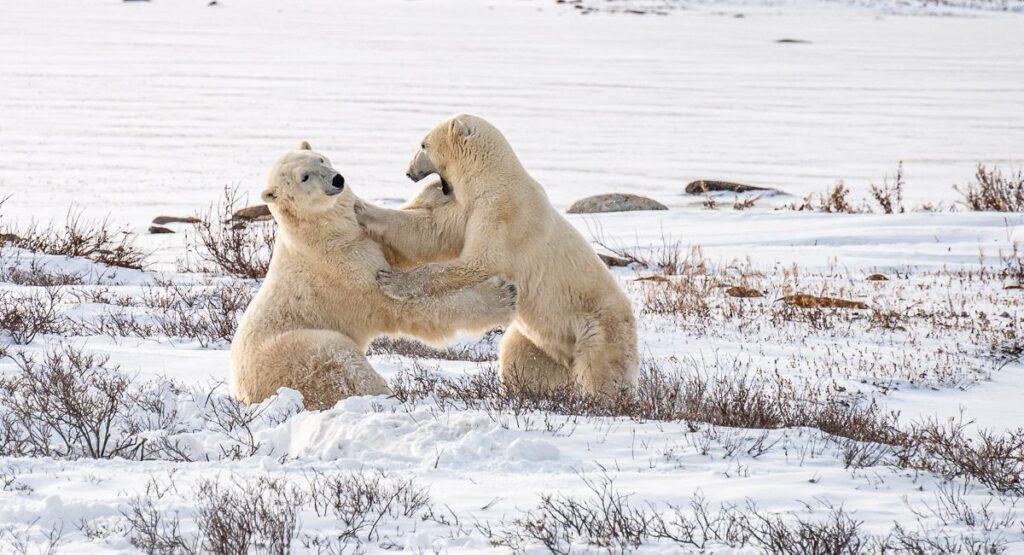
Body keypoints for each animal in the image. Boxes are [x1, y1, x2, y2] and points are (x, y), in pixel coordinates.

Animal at [233, 142, 520, 413]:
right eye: (304, 177)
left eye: (321, 159)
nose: (337, 180)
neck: (321, 234)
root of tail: (243, 393)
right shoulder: (342, 269)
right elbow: (402, 306)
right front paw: (502, 296)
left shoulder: (360, 236)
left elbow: (403, 241)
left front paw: (435, 189)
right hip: (292, 352)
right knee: (339, 358)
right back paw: (386, 397)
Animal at [356, 115, 634, 397]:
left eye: (423, 144)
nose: (408, 172)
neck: (492, 179)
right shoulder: (469, 210)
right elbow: (429, 232)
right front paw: (361, 208)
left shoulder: (502, 212)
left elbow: (480, 262)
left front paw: (391, 279)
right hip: (540, 341)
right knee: (519, 355)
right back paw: (524, 390)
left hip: (599, 327)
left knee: (600, 370)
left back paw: (600, 398)